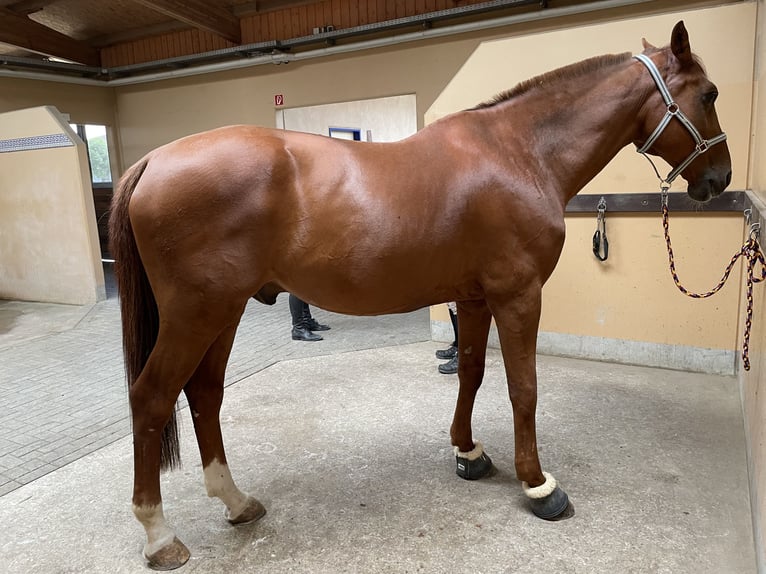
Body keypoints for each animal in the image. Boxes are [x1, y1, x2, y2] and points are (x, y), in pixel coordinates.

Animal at [108, 22, 732, 572]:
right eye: (708, 94)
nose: (720, 178)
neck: (519, 152)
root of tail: (153, 160)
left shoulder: (477, 298)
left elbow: (472, 372)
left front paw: (469, 454)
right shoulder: (518, 296)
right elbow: (524, 388)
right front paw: (538, 484)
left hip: (224, 311)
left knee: (204, 393)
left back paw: (236, 502)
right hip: (196, 313)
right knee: (152, 398)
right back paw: (160, 536)